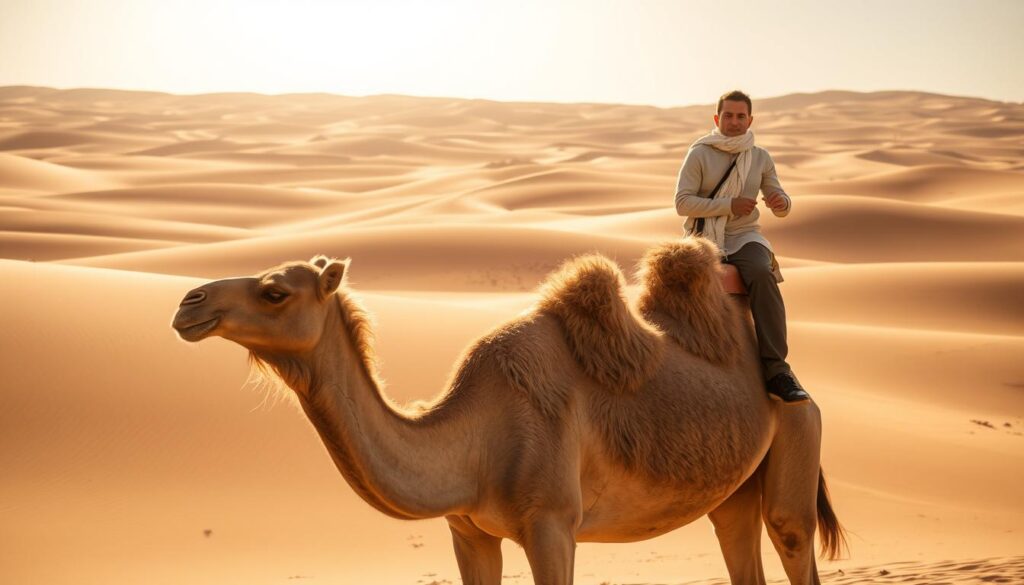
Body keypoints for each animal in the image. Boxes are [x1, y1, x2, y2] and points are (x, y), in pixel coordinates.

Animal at [171, 238, 845, 585]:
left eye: (275, 291)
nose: (188, 302)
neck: (473, 441)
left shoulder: (552, 524)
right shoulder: (467, 531)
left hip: (799, 432)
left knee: (791, 534)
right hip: (731, 490)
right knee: (736, 534)